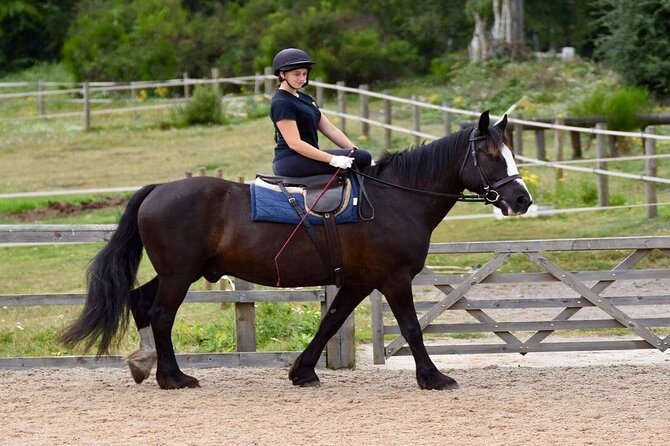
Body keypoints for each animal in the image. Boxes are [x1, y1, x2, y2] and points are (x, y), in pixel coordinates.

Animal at [61, 110, 532, 390]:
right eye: (492, 155)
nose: (522, 200)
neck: (397, 198)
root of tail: (159, 189)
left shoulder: (359, 282)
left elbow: (329, 322)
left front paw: (302, 371)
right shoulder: (394, 279)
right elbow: (412, 328)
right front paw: (433, 377)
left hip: (179, 271)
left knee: (141, 302)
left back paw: (144, 365)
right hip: (180, 273)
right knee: (160, 314)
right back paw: (173, 377)